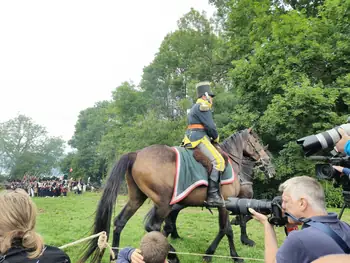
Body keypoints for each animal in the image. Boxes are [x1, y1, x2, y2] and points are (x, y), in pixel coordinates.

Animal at [81, 129, 270, 263]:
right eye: (257, 141)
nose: (267, 160)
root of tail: (136, 154)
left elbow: (227, 228)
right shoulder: (225, 204)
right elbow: (227, 230)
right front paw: (231, 256)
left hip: (137, 199)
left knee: (120, 222)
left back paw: (116, 254)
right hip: (164, 204)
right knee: (154, 226)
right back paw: (172, 253)